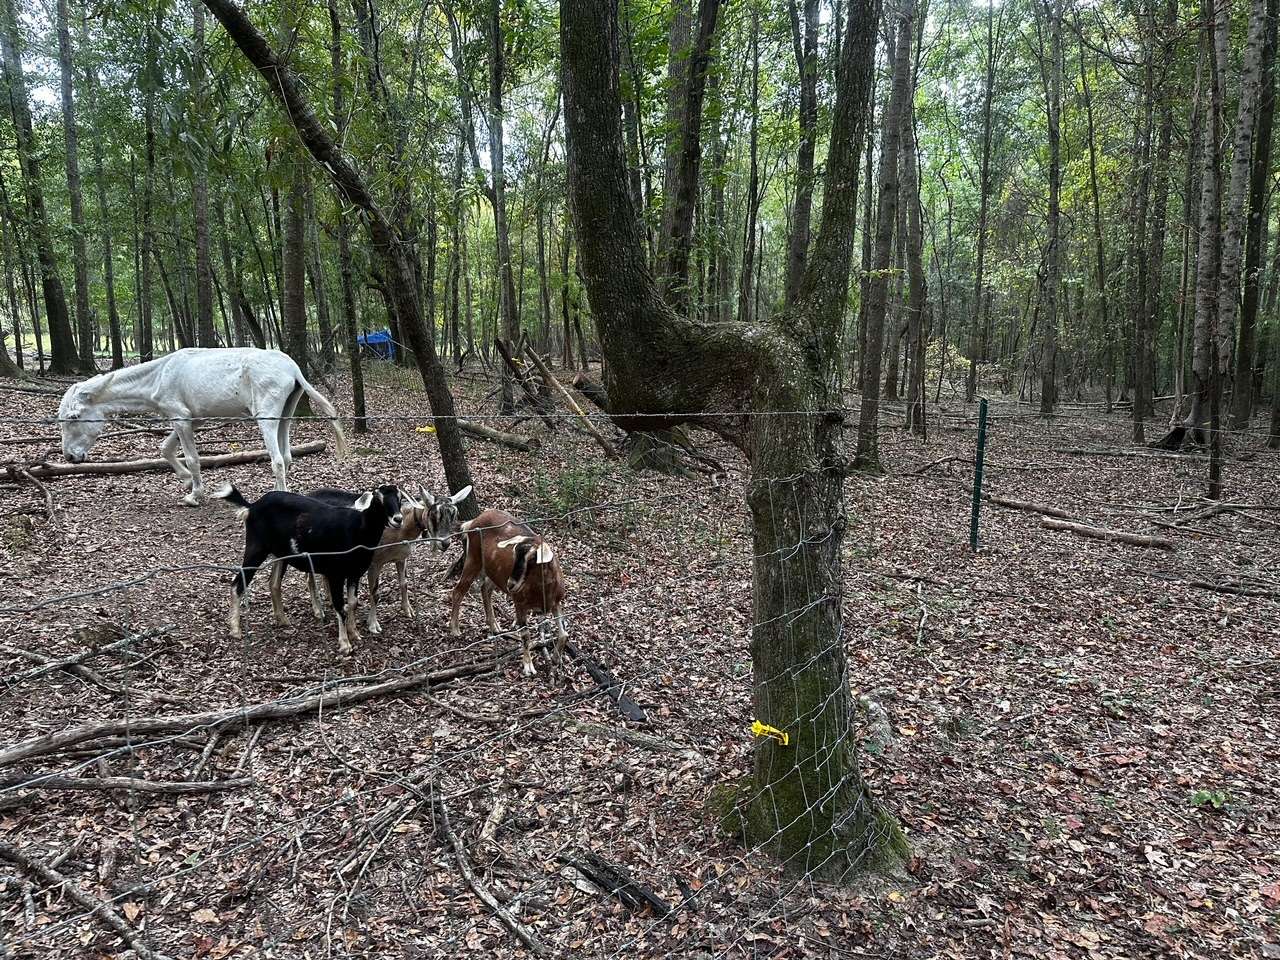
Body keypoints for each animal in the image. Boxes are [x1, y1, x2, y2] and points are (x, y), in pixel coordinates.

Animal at [213, 482, 394, 654]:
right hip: (256, 548)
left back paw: (283, 620)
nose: (397, 519)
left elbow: (353, 603)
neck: (358, 529)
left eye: (398, 497)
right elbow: (340, 607)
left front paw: (354, 634)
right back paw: (235, 630)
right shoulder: (335, 574)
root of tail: (252, 506)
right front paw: (345, 645)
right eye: (378, 500)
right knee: (237, 584)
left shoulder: (355, 573)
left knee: (274, 583)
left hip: (280, 553)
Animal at [301, 483, 471, 634]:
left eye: (454, 515)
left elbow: (404, 583)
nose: (445, 543)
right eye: (434, 515)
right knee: (309, 578)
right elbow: (375, 593)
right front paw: (373, 625)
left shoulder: (401, 557)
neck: (401, 530)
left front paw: (408, 610)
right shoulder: (375, 562)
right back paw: (318, 611)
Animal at [447, 509, 566, 677]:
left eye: (532, 558)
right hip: (473, 560)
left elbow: (564, 634)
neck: (542, 591)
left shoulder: (556, 603)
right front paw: (528, 666)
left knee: (485, 588)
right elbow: (525, 635)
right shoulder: (520, 603)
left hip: (494, 572)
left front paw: (556, 657)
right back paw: (455, 629)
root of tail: (472, 522)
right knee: (458, 591)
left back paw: (495, 626)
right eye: (515, 554)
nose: (511, 584)